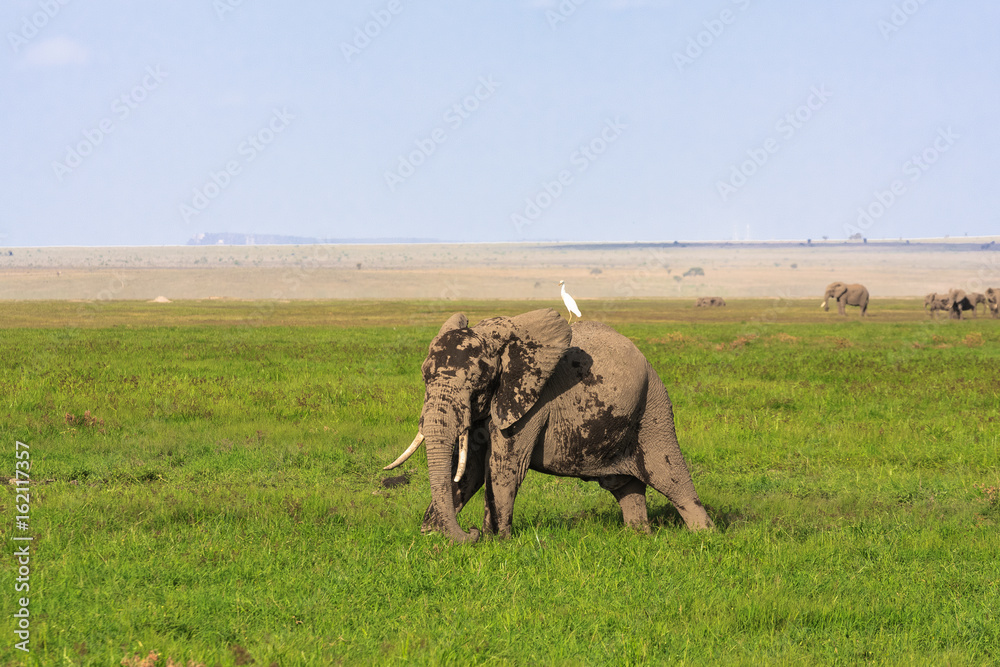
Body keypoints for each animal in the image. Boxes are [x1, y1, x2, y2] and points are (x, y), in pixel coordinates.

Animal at [385, 308, 713, 543]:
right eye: (424, 377)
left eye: (475, 384)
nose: (471, 533)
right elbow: (470, 470)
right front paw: (432, 535)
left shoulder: (531, 403)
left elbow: (503, 468)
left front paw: (497, 541)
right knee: (626, 487)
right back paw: (638, 536)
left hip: (653, 409)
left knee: (670, 476)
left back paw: (705, 536)